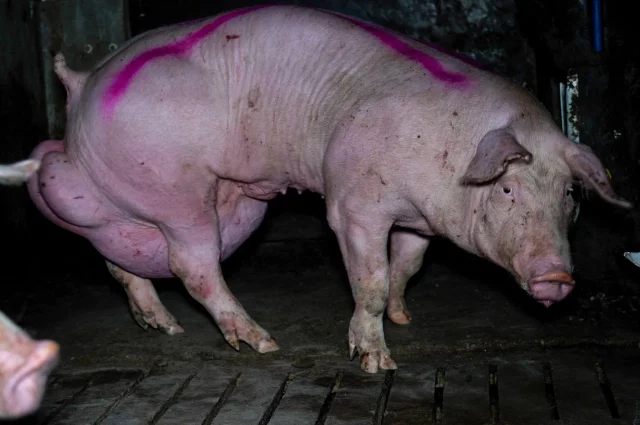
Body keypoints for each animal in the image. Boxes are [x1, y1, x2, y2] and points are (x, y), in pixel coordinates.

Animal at [26, 5, 631, 373]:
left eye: (569, 196)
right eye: (507, 191)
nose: (557, 278)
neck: (451, 153)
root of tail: (83, 83)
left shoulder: (419, 220)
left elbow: (408, 264)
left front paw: (404, 317)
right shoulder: (355, 202)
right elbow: (370, 278)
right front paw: (377, 362)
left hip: (158, 203)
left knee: (118, 258)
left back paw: (162, 327)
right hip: (179, 194)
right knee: (192, 266)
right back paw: (261, 342)